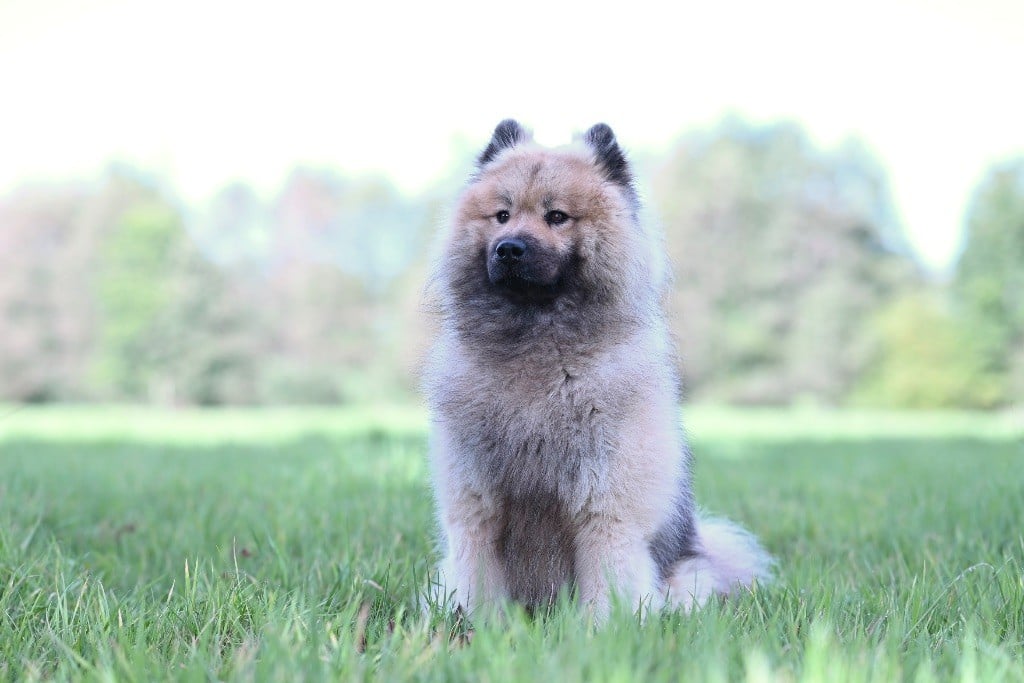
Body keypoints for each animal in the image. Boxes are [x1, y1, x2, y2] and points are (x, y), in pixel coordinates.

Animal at [421, 118, 770, 618]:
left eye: (557, 216)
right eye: (502, 215)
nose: (508, 249)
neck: (537, 348)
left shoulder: (605, 506)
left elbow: (608, 577)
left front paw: (600, 628)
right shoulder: (476, 506)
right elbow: (476, 579)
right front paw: (475, 625)